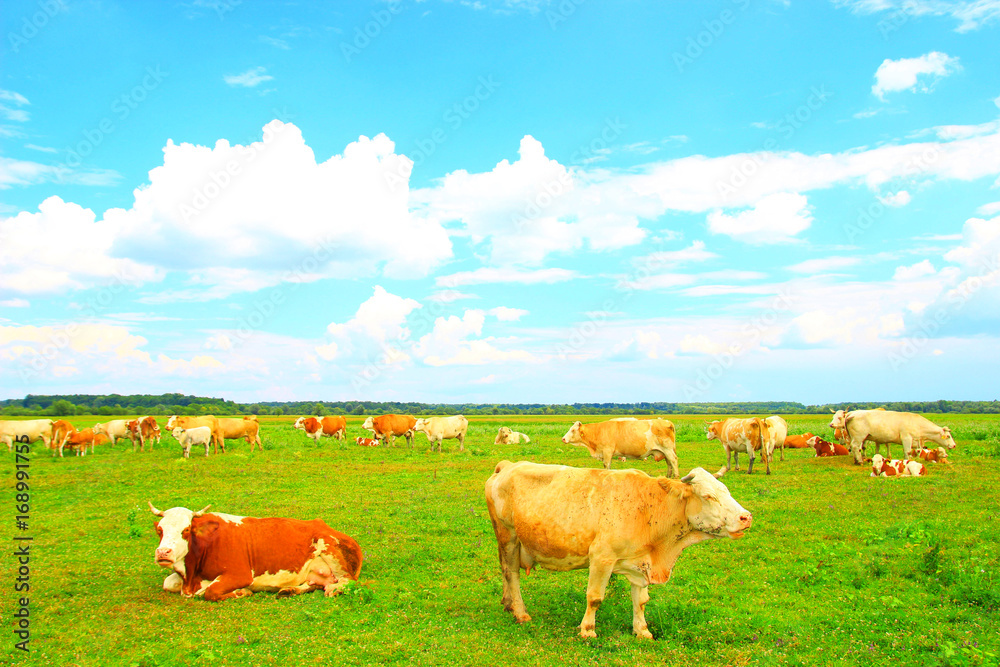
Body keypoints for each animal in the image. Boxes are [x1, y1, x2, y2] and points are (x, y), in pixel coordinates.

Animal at [149, 503, 363, 601]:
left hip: (331, 550)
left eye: (186, 530)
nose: (163, 553)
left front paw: (241, 592)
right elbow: (168, 583)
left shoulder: (240, 574)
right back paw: (289, 590)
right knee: (315, 584)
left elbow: (210, 592)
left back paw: (334, 590)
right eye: (160, 530)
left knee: (347, 581)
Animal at [485, 461, 752, 639]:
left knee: (505, 572)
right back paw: (520, 612)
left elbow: (641, 601)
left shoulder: (641, 562)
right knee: (512, 574)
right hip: (509, 537)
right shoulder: (602, 557)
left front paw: (642, 631)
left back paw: (508, 604)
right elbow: (594, 598)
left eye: (726, 491)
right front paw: (588, 630)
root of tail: (507, 465)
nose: (746, 517)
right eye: (708, 496)